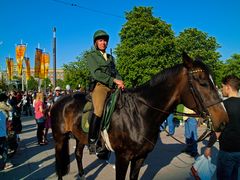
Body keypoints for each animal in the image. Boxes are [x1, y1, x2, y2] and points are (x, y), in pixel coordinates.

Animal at [51, 53, 229, 180]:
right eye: (202, 82)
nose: (223, 120)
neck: (139, 114)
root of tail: (60, 100)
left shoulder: (140, 157)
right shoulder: (123, 158)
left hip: (80, 137)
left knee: (78, 154)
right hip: (59, 139)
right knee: (59, 164)